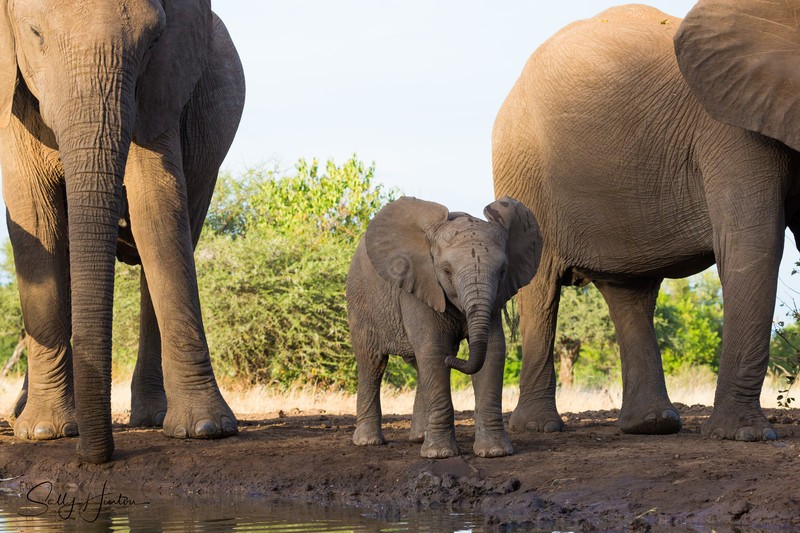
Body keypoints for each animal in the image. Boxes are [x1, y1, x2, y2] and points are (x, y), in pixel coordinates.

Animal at [0, 0, 245, 462]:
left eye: (152, 41)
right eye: (35, 34)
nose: (97, 457)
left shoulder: (160, 92)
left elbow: (158, 205)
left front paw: (209, 429)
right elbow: (34, 216)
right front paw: (44, 432)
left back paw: (152, 418)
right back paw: (22, 417)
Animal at [346, 196, 541, 458]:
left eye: (502, 271)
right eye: (447, 271)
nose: (454, 359)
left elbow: (492, 351)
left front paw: (495, 452)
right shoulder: (420, 284)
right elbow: (434, 350)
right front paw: (440, 454)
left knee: (419, 366)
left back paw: (419, 437)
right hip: (360, 301)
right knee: (372, 363)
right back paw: (369, 442)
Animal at [492, 1, 800, 442]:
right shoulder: (732, 127)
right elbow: (754, 241)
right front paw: (743, 436)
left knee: (629, 292)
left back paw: (651, 424)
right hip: (523, 173)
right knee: (540, 288)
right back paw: (539, 427)